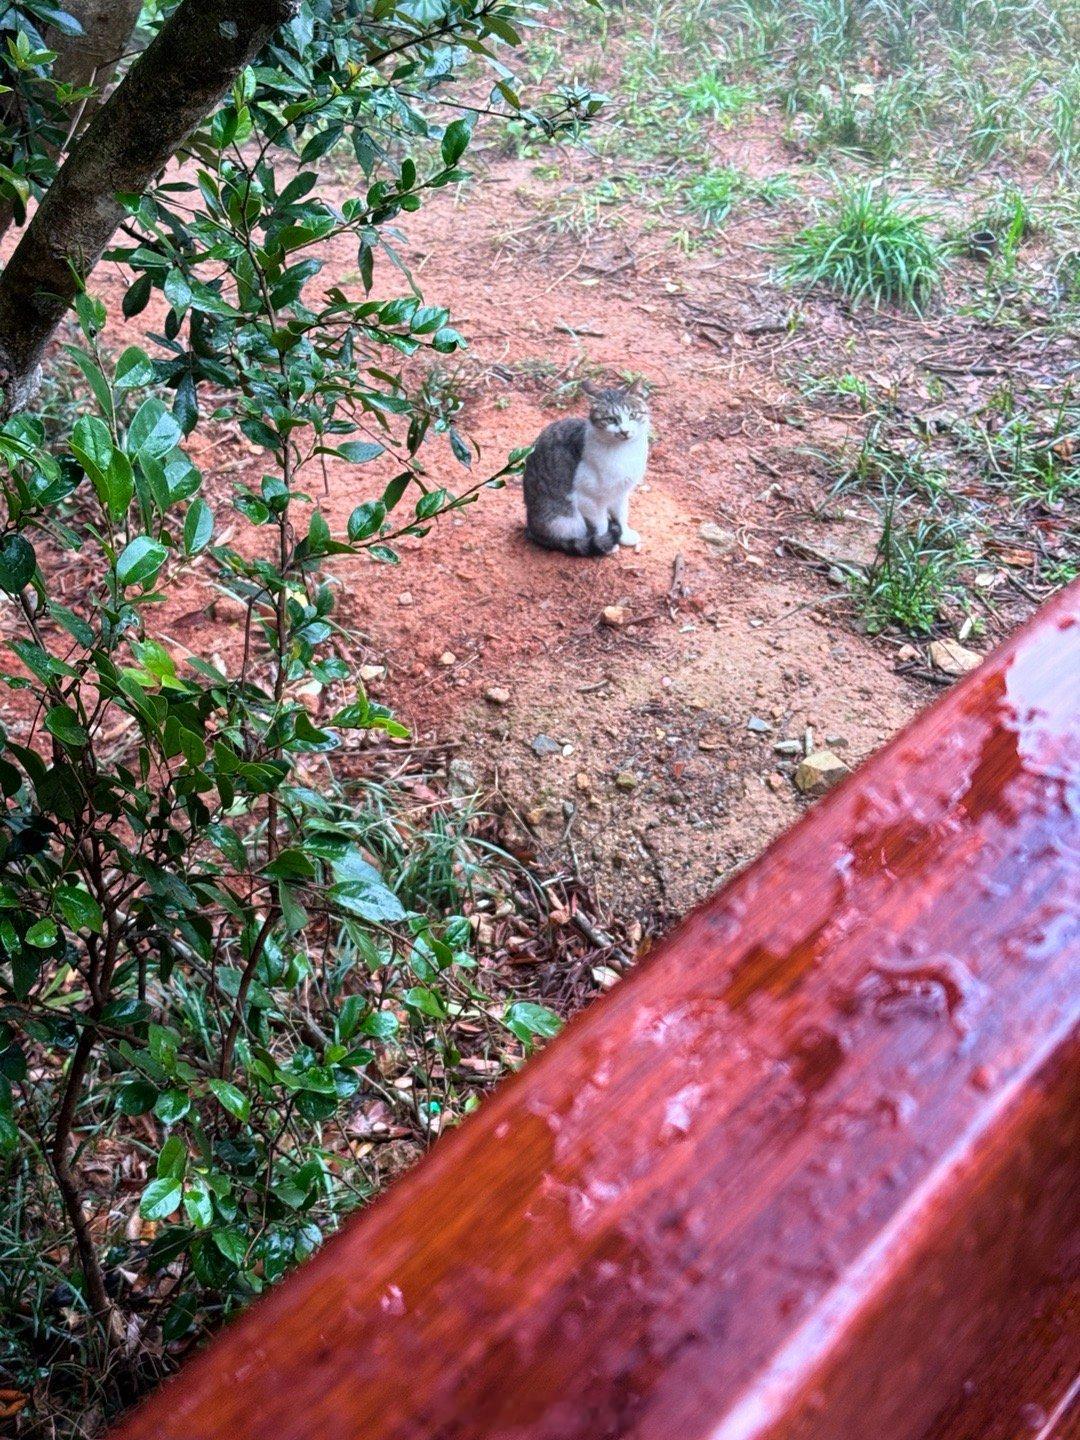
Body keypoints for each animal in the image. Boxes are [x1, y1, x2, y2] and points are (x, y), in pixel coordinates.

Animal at [524, 377, 650, 555]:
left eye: (632, 415)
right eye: (610, 419)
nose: (624, 432)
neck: (624, 452)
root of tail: (531, 528)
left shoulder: (621, 491)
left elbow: (622, 514)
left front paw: (624, 534)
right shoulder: (587, 498)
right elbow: (601, 523)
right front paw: (606, 544)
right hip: (564, 520)